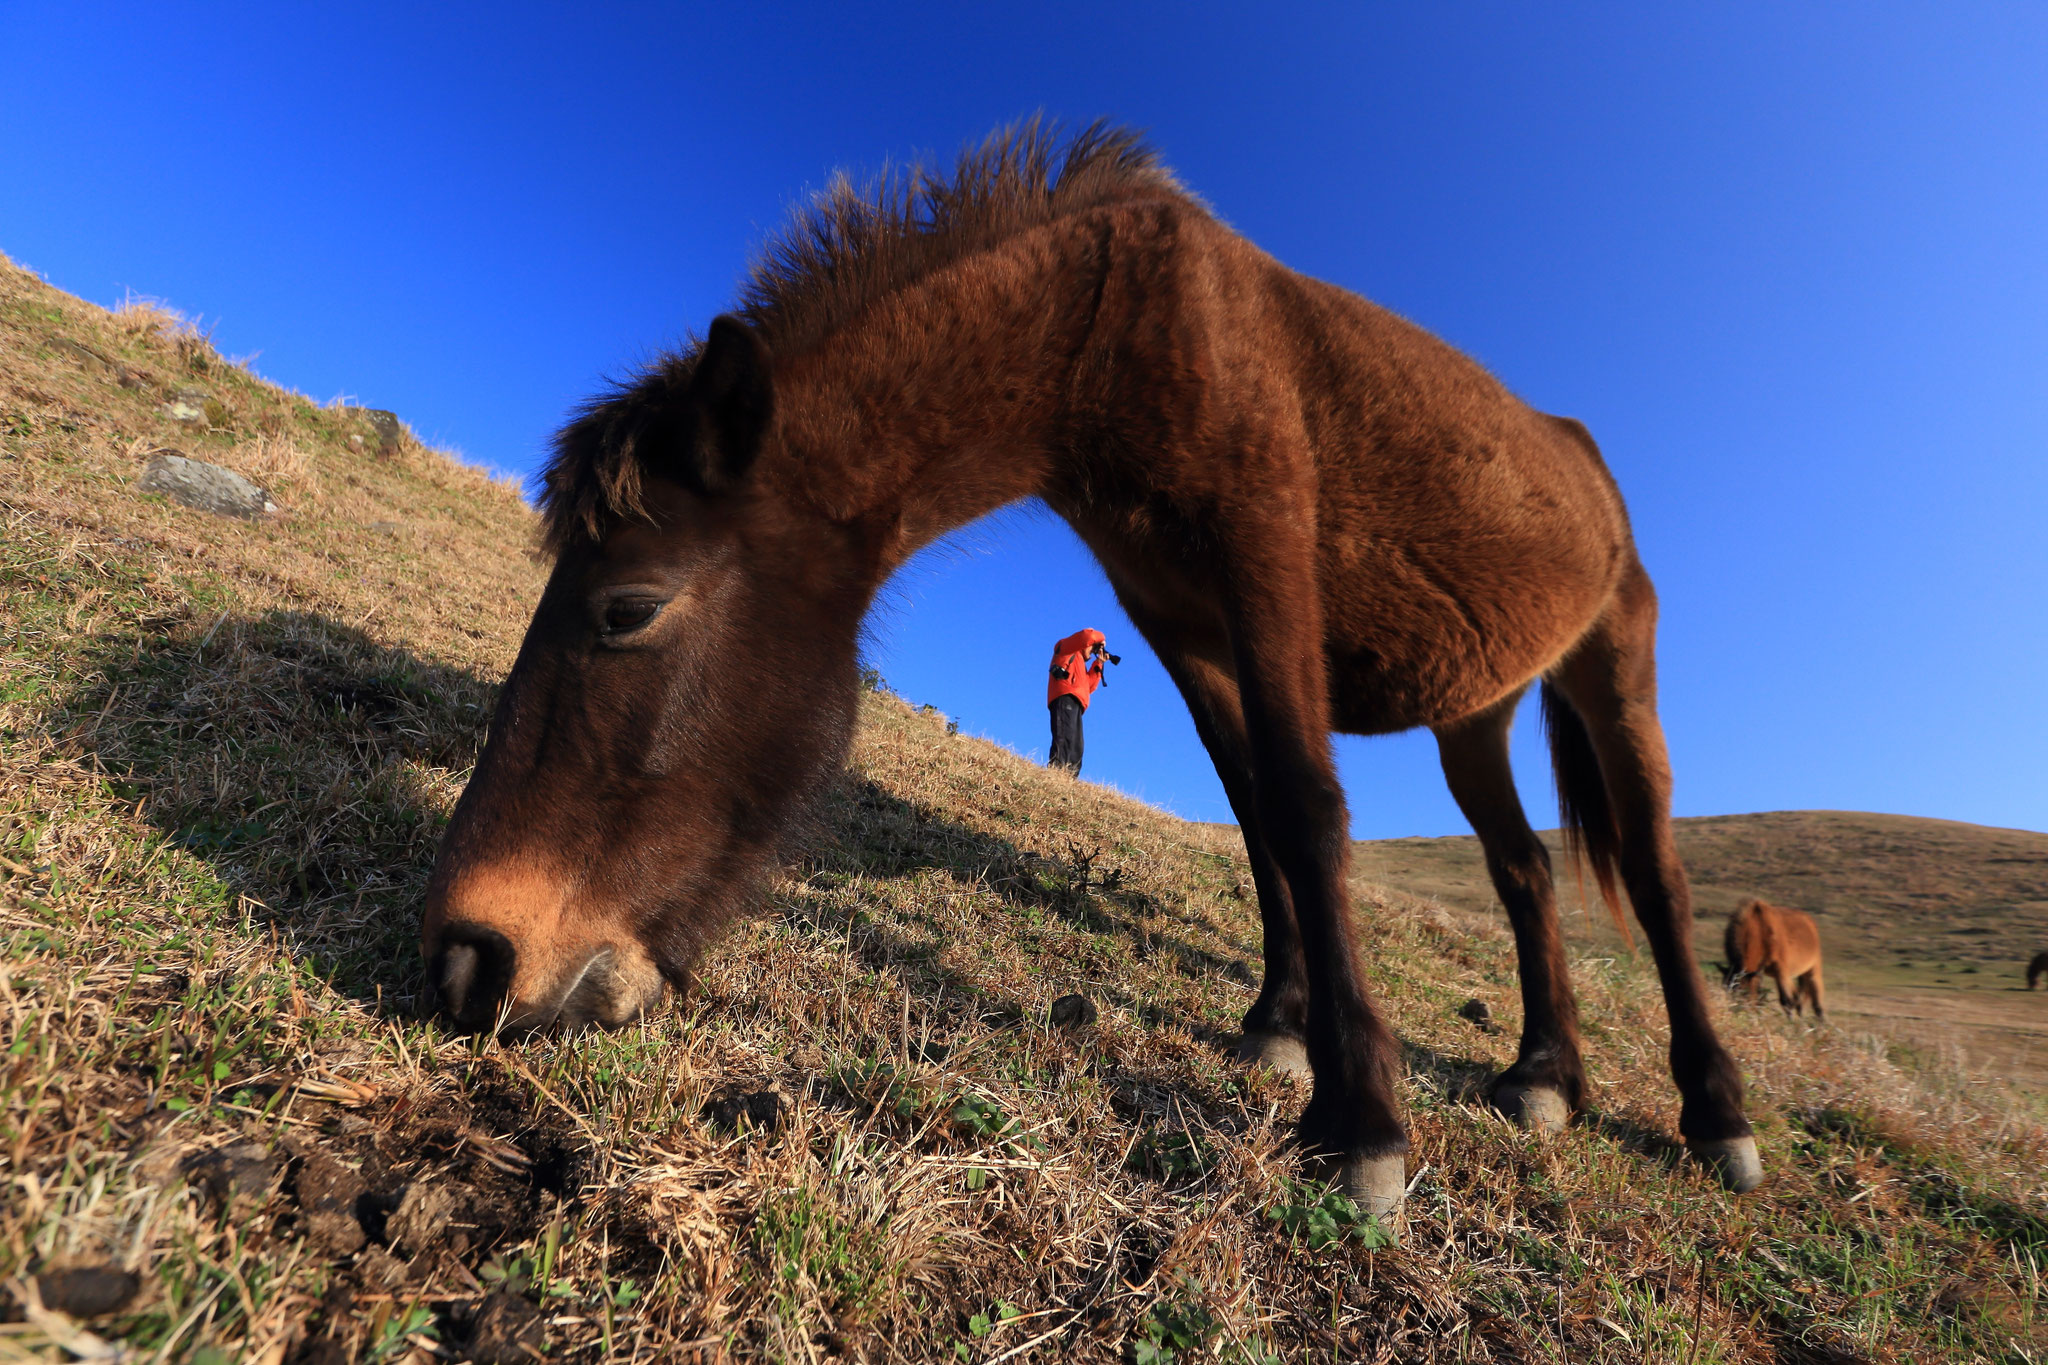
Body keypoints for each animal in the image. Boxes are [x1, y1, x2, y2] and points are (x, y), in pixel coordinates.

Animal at [419, 121, 1761, 1215]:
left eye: (627, 610)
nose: (468, 959)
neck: (1121, 327)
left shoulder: (1264, 560)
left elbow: (1306, 808)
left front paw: (1362, 1121)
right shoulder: (1179, 626)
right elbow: (1257, 821)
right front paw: (1282, 1030)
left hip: (1611, 668)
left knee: (1654, 881)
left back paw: (1714, 1113)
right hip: (1474, 714)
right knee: (1525, 871)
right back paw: (1544, 1074)